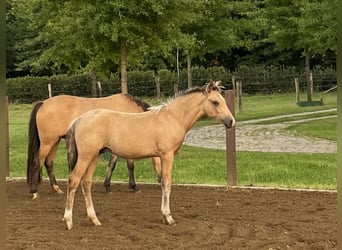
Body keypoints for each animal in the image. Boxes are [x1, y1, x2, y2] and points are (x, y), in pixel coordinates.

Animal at [25, 93, 162, 200]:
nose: (161, 180)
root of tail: (43, 103)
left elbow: (113, 165)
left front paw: (108, 186)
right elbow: (128, 166)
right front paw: (133, 186)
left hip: (54, 141)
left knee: (49, 163)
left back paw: (56, 188)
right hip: (47, 142)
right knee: (37, 162)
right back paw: (34, 191)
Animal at [62, 81, 235, 229]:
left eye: (222, 100)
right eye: (215, 102)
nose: (231, 121)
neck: (172, 118)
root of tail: (78, 120)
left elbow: (162, 183)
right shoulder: (167, 156)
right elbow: (167, 184)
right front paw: (168, 217)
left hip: (94, 156)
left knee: (86, 183)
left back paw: (94, 219)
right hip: (86, 157)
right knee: (74, 181)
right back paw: (69, 221)